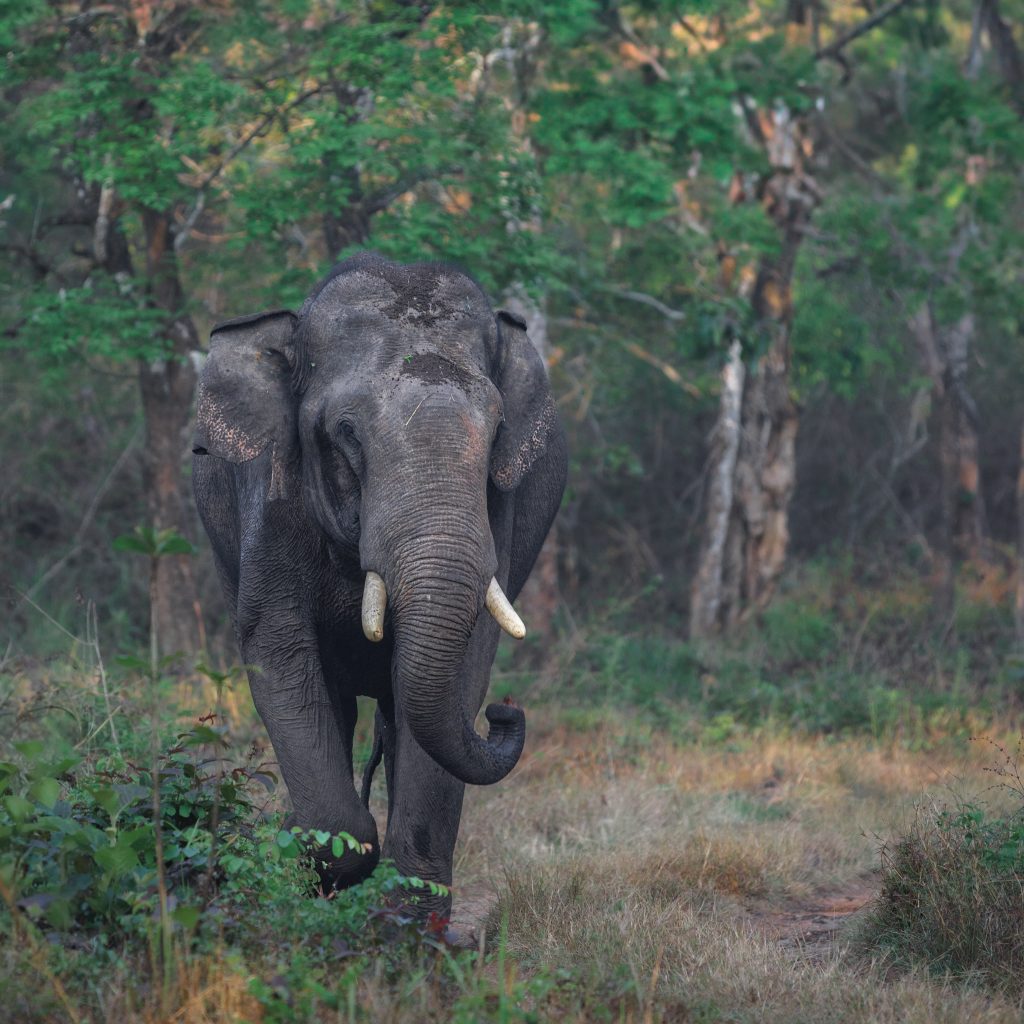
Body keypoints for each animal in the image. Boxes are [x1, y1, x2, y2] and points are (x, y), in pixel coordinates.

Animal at [192, 249, 569, 921]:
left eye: (499, 428)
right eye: (345, 433)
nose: (506, 713)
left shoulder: (498, 506)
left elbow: (462, 663)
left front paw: (407, 918)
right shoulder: (272, 498)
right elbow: (277, 647)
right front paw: (324, 856)